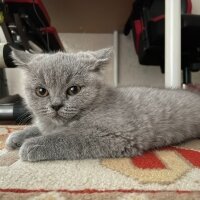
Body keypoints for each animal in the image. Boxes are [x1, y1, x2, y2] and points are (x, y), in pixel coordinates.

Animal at [5, 47, 200, 162]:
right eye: (41, 91)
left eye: (73, 90)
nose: (56, 105)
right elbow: (38, 128)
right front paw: (17, 137)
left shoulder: (117, 135)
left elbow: (70, 137)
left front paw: (33, 145)